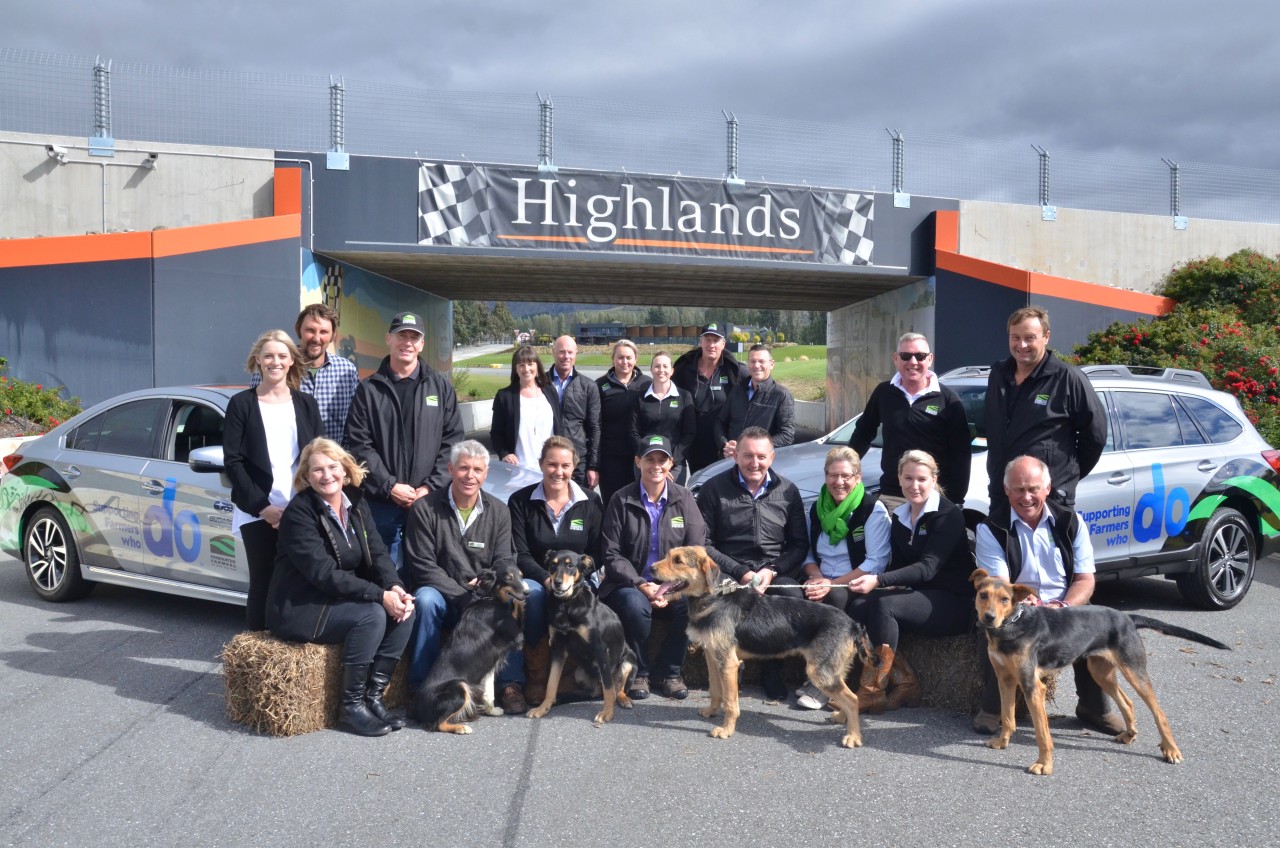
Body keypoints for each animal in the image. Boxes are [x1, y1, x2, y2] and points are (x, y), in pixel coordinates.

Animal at [412, 563, 527, 737]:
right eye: (509, 578)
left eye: (521, 575)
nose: (527, 592)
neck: (490, 598)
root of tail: (417, 709)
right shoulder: (516, 635)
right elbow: (517, 607)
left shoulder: (489, 664)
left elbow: (489, 690)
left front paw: (492, 710)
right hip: (459, 687)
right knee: (437, 724)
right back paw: (461, 727)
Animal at [524, 555, 634, 727]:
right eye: (553, 565)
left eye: (570, 566)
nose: (557, 582)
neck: (566, 603)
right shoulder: (557, 647)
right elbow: (551, 683)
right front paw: (543, 707)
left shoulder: (600, 650)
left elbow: (609, 688)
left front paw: (607, 713)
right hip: (579, 673)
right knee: (600, 690)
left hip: (628, 661)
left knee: (617, 688)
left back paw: (624, 699)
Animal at [650, 545, 880, 753]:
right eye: (669, 556)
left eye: (678, 561)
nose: (651, 568)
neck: (714, 597)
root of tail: (853, 624)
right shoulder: (712, 657)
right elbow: (715, 690)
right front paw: (711, 711)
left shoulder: (728, 663)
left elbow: (730, 701)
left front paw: (726, 730)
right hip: (835, 668)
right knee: (847, 696)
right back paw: (842, 718)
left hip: (820, 671)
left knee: (852, 699)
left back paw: (853, 736)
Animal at [972, 571, 1233, 778]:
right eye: (983, 595)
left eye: (1005, 599)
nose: (989, 618)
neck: (1012, 625)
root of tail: (1127, 617)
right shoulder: (1005, 679)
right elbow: (1007, 717)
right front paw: (1002, 742)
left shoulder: (1032, 686)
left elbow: (1042, 734)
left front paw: (1044, 765)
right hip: (1101, 671)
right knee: (1127, 702)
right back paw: (1129, 735)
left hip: (1134, 670)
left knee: (1159, 712)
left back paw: (1171, 750)